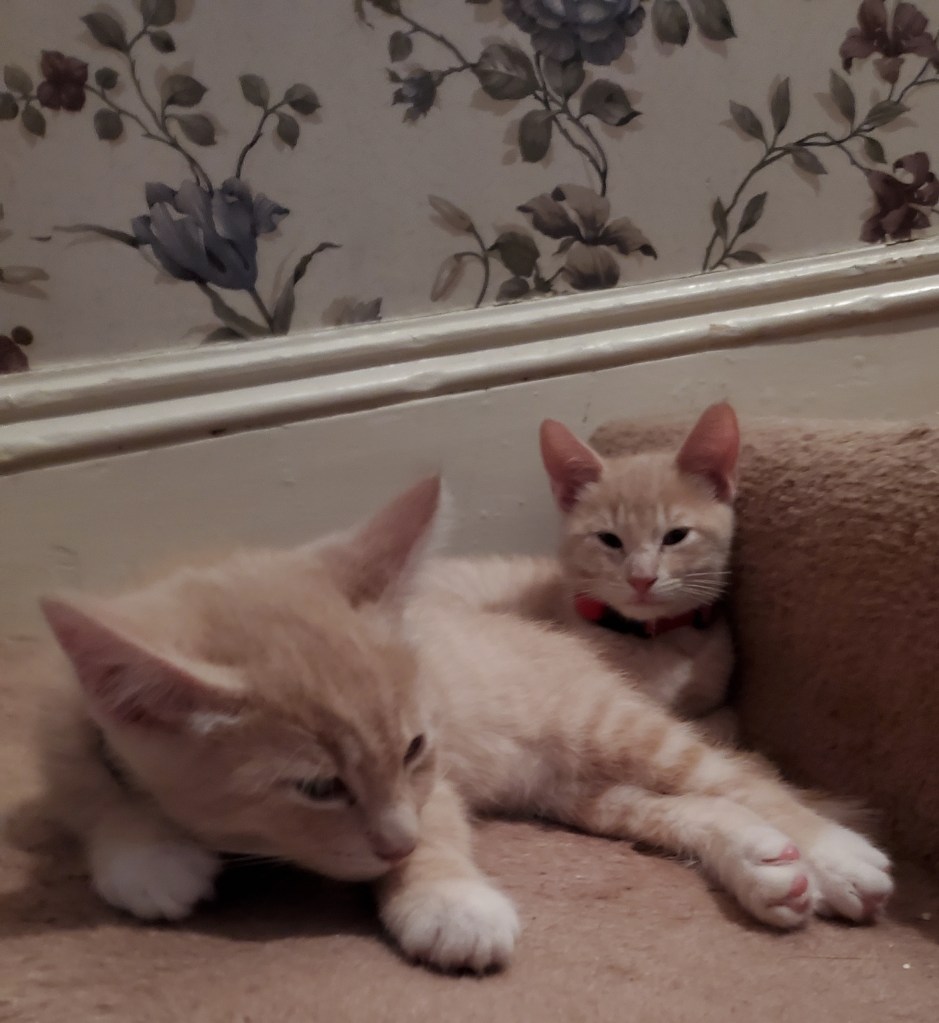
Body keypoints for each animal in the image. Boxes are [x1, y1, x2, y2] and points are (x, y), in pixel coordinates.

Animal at [36, 476, 892, 975]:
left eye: (415, 746)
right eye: (316, 787)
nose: (395, 842)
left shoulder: (433, 781)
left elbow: (437, 826)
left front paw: (443, 897)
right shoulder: (54, 720)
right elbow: (85, 791)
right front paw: (144, 852)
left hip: (603, 725)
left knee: (738, 775)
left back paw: (830, 851)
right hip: (573, 787)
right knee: (680, 804)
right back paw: (762, 860)